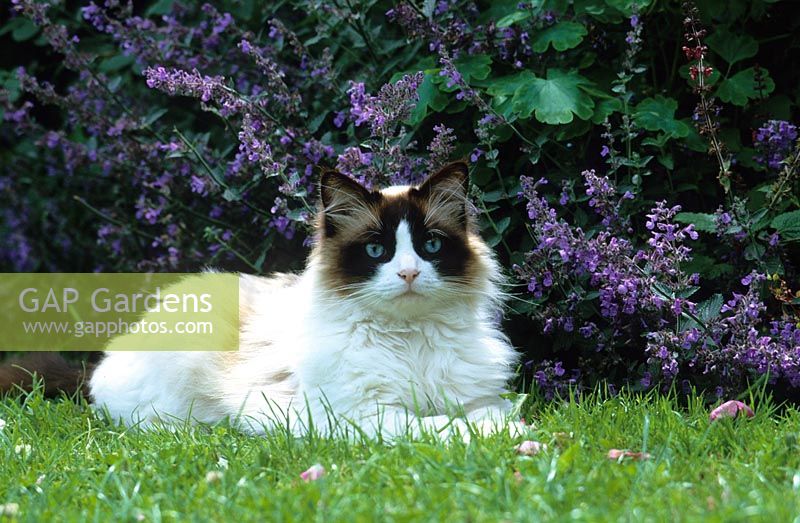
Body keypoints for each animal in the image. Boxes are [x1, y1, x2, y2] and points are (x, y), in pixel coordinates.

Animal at [3, 162, 524, 440]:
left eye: (430, 246)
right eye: (377, 251)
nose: (410, 273)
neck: (411, 344)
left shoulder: (477, 398)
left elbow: (486, 413)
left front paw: (509, 431)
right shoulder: (361, 416)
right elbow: (439, 425)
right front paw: (507, 437)